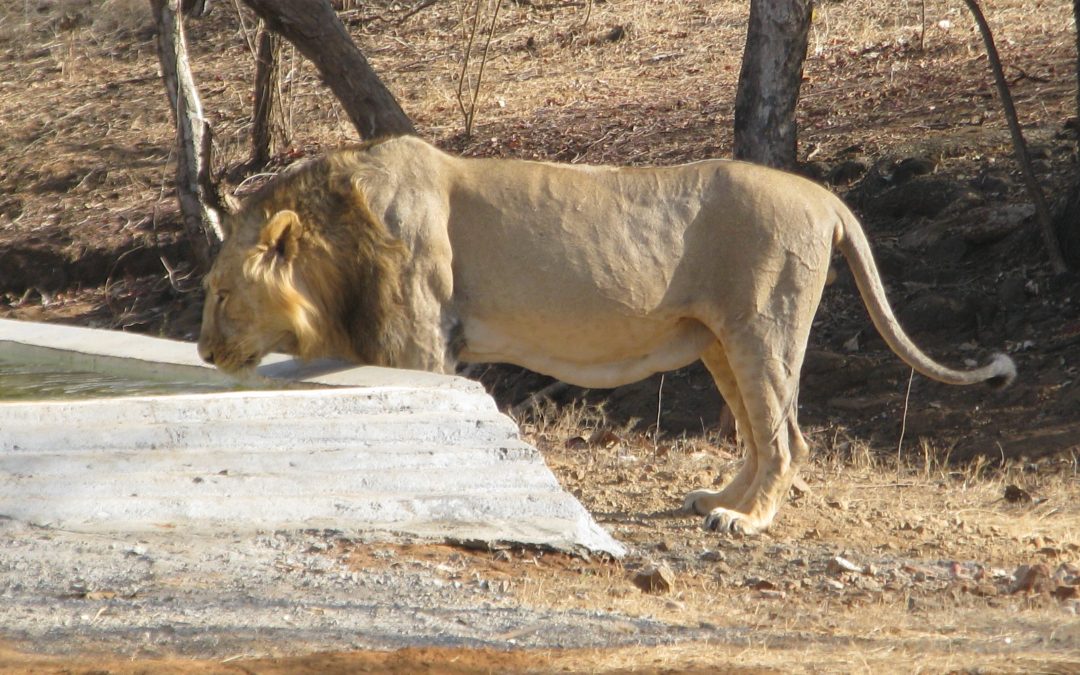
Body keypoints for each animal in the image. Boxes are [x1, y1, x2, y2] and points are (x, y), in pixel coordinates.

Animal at [196, 135, 1010, 537]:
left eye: (219, 292)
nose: (202, 352)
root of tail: (827, 197)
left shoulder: (422, 340)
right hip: (718, 339)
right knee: (757, 434)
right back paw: (716, 498)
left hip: (764, 325)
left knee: (788, 438)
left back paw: (745, 520)